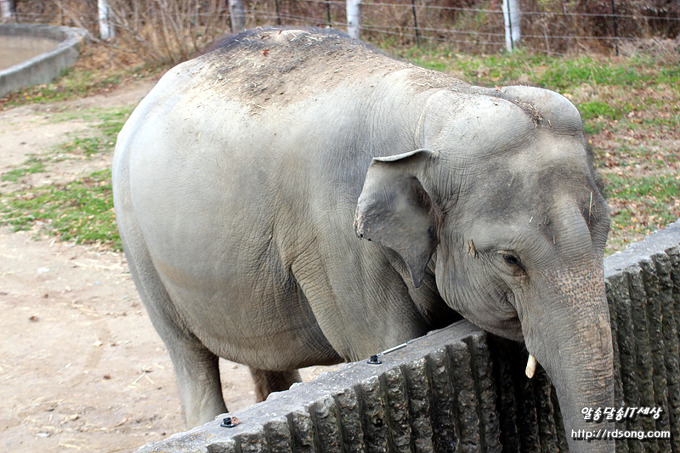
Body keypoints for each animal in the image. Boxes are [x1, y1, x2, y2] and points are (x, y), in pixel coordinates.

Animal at [112, 28, 614, 452]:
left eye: (604, 232)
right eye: (511, 259)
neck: (435, 100)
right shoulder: (335, 240)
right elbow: (388, 342)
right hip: (135, 238)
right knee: (188, 355)